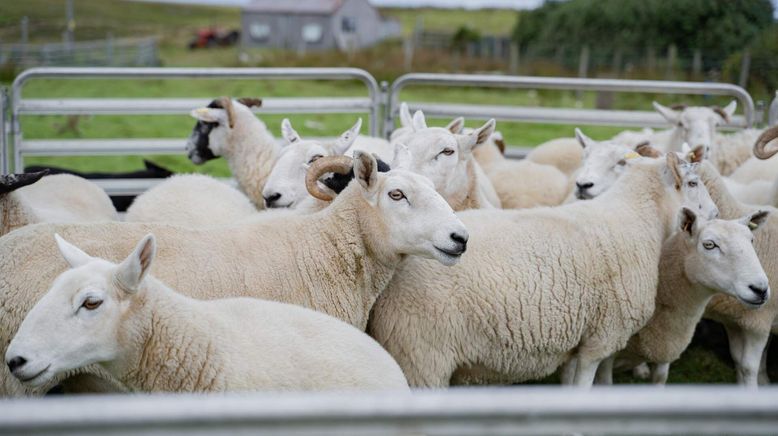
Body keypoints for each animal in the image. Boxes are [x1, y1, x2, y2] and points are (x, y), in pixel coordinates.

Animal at [366, 152, 712, 386]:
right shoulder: (600, 339)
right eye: (693, 182)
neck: (639, 218)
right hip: (422, 355)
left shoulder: (578, 339)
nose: (714, 211)